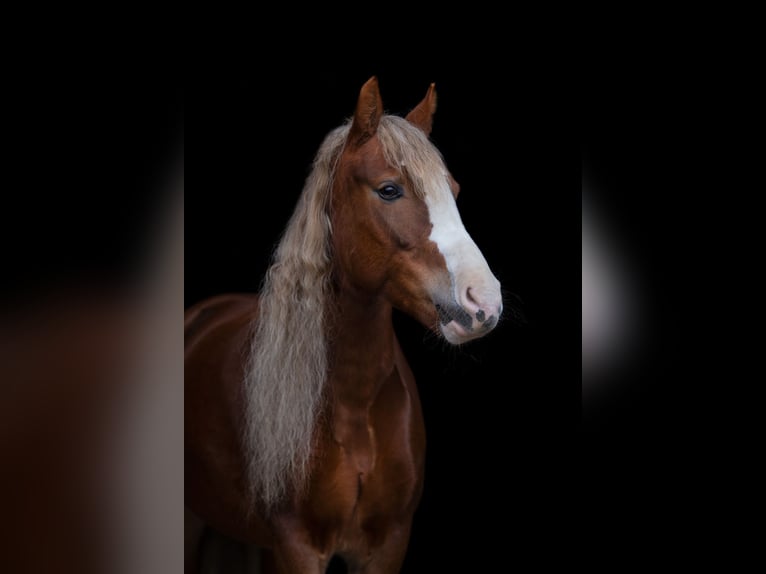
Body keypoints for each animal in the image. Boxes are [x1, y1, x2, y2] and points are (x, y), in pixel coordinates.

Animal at [185, 76, 503, 573]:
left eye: (452, 190)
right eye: (389, 189)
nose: (484, 301)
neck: (354, 401)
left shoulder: (389, 542)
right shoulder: (296, 545)